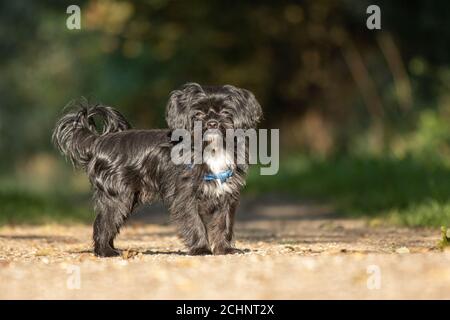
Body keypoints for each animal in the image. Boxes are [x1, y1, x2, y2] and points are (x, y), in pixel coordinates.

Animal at [52, 83, 262, 258]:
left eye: (225, 112)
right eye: (198, 114)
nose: (212, 122)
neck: (211, 149)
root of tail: (99, 141)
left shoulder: (226, 195)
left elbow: (223, 224)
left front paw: (224, 249)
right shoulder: (185, 197)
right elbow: (195, 223)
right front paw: (202, 249)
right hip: (119, 197)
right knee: (103, 224)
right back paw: (106, 252)